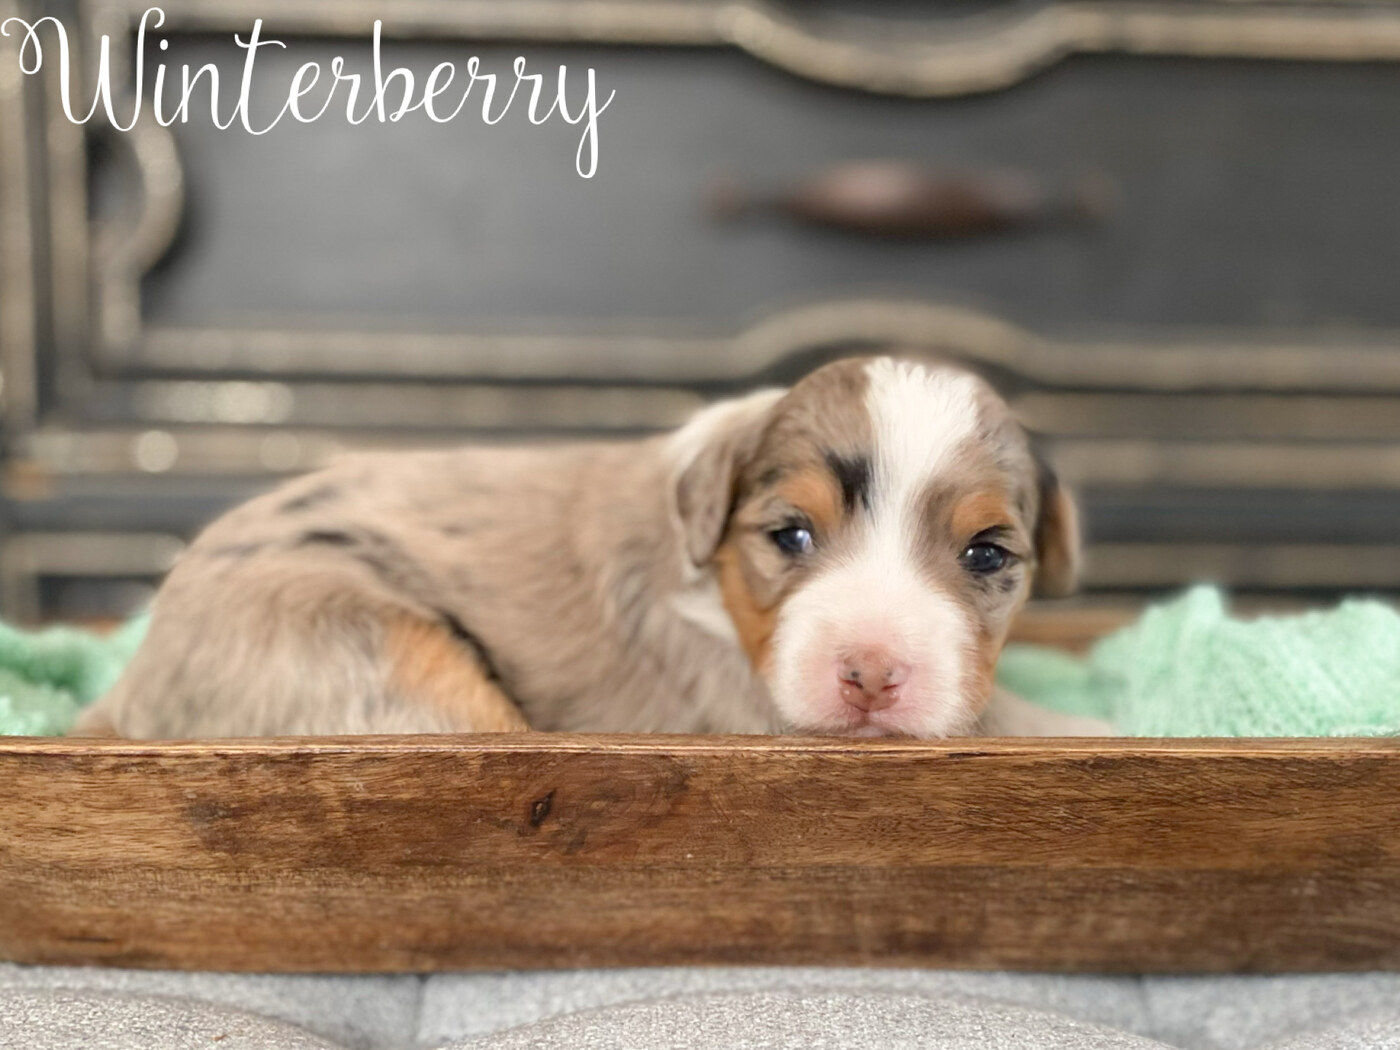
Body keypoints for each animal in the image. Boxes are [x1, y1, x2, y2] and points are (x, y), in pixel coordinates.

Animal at [76, 355, 1106, 739]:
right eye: (790, 535)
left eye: (986, 557)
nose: (871, 675)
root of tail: (130, 689)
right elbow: (1020, 720)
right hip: (389, 663)